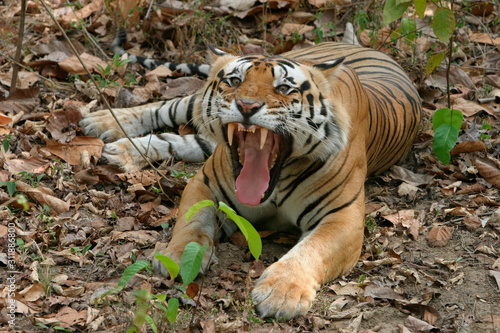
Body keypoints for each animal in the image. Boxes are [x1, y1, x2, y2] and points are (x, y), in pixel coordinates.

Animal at [79, 40, 422, 318]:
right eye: (235, 81)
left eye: (284, 89)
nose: (246, 106)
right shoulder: (205, 184)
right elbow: (192, 223)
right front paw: (178, 257)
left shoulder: (343, 217)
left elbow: (311, 250)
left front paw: (281, 294)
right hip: (192, 105)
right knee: (165, 106)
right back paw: (103, 123)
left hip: (204, 142)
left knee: (181, 140)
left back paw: (120, 150)